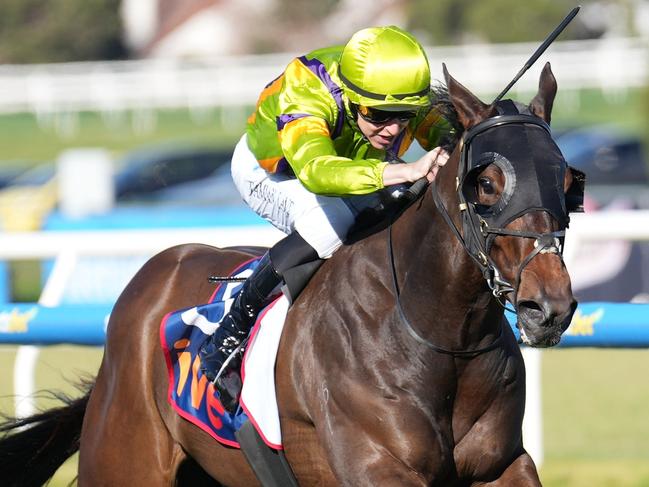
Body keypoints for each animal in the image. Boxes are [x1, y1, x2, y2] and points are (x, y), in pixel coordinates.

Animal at [0, 63, 580, 486]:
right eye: (486, 183)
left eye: (569, 181)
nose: (548, 308)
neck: (436, 331)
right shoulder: (378, 467)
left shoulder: (502, 465)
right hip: (124, 461)